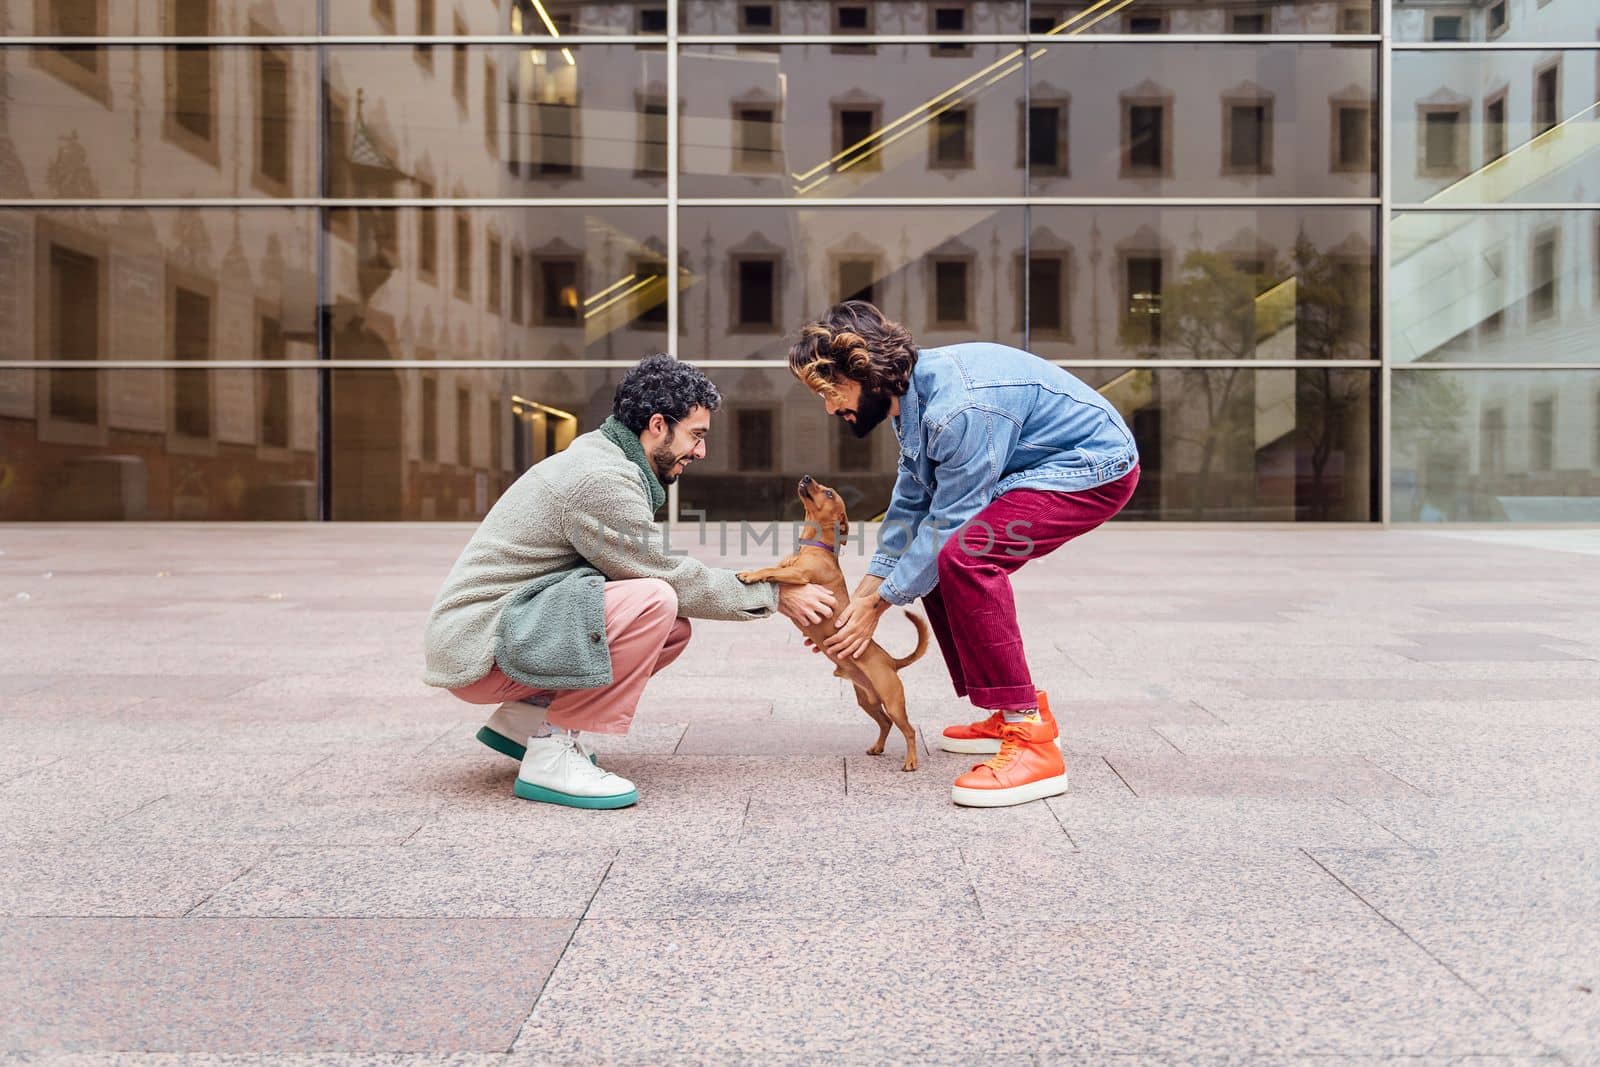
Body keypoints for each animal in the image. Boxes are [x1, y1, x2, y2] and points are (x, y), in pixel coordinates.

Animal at [732, 476, 928, 767]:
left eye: (829, 493)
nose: (806, 477)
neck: (811, 545)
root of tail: (892, 661)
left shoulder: (799, 575)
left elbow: (771, 571)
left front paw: (750, 574)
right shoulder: (789, 569)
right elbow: (775, 568)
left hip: (892, 702)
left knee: (909, 729)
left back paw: (911, 761)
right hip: (867, 700)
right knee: (885, 723)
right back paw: (877, 747)